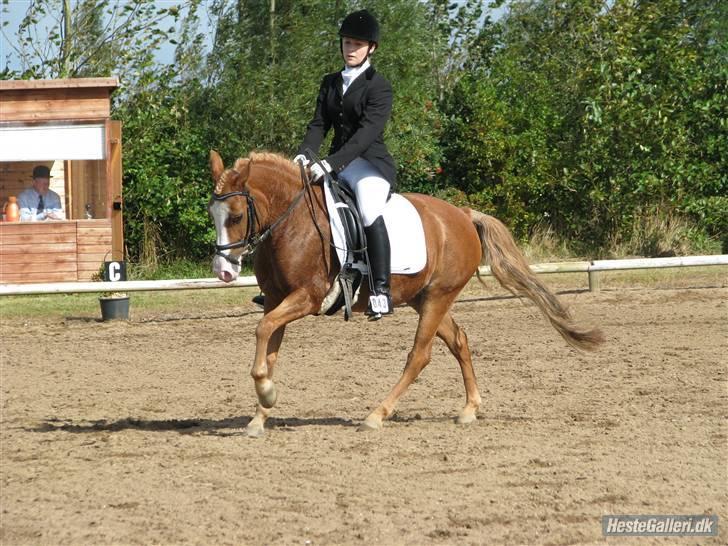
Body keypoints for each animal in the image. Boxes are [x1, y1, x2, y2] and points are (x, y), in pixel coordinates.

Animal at [208, 150, 604, 437]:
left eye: (237, 215)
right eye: (213, 213)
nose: (224, 272)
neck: (291, 224)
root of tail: (462, 214)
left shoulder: (307, 297)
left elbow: (262, 331)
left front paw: (267, 394)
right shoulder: (276, 301)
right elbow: (269, 347)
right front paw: (260, 414)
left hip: (438, 297)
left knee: (420, 355)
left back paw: (376, 415)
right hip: (426, 298)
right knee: (458, 340)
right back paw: (469, 409)